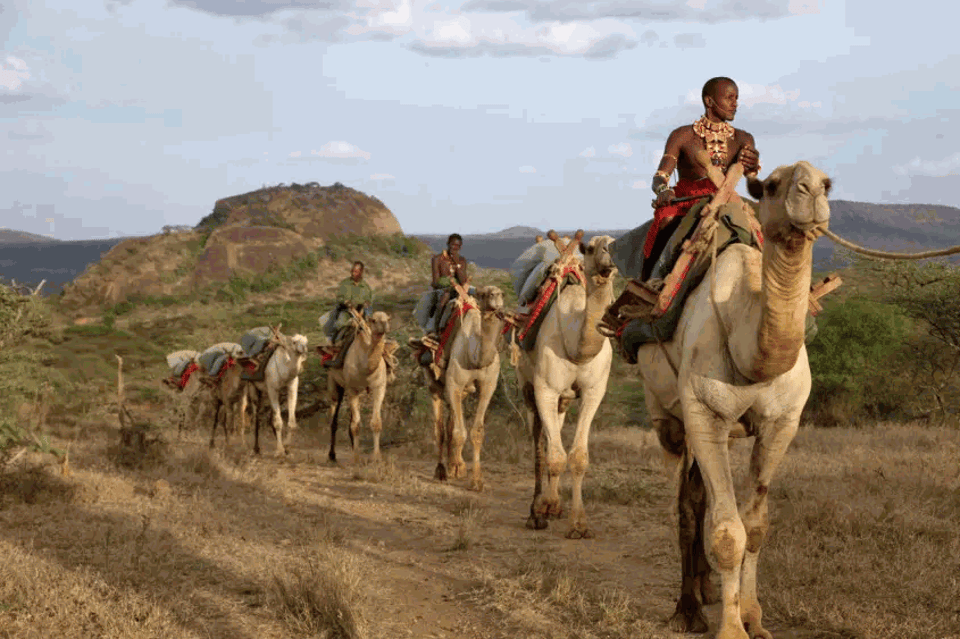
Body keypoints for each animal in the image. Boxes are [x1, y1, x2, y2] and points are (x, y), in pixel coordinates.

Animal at [325, 310, 392, 467]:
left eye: (387, 319)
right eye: (373, 320)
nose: (384, 325)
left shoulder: (379, 387)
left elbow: (376, 423)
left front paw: (377, 458)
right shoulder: (352, 388)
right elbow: (356, 425)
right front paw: (356, 459)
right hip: (334, 383)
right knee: (334, 416)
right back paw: (332, 455)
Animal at [423, 285, 506, 491]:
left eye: (501, 293)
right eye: (484, 294)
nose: (496, 296)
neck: (474, 356)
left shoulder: (488, 387)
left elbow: (477, 432)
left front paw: (477, 481)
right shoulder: (454, 383)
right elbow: (459, 432)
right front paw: (449, 472)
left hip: (464, 392)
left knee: (452, 420)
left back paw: (456, 466)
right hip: (433, 383)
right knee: (440, 428)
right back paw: (442, 471)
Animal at [516, 234, 617, 539]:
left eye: (614, 242)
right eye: (592, 247)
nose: (609, 258)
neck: (577, 346)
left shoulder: (594, 392)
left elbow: (578, 456)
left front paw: (579, 523)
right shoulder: (544, 389)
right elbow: (553, 454)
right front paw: (543, 509)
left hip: (563, 398)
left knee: (555, 432)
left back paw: (553, 505)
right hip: (527, 386)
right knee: (539, 441)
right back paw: (536, 511)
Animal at [632, 161, 831, 639]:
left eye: (828, 183)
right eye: (773, 185)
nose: (811, 190)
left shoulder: (783, 423)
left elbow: (755, 526)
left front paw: (754, 618)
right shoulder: (704, 416)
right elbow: (726, 532)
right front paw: (729, 628)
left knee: (698, 497)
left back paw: (705, 590)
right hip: (667, 419)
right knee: (686, 506)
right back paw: (687, 608)